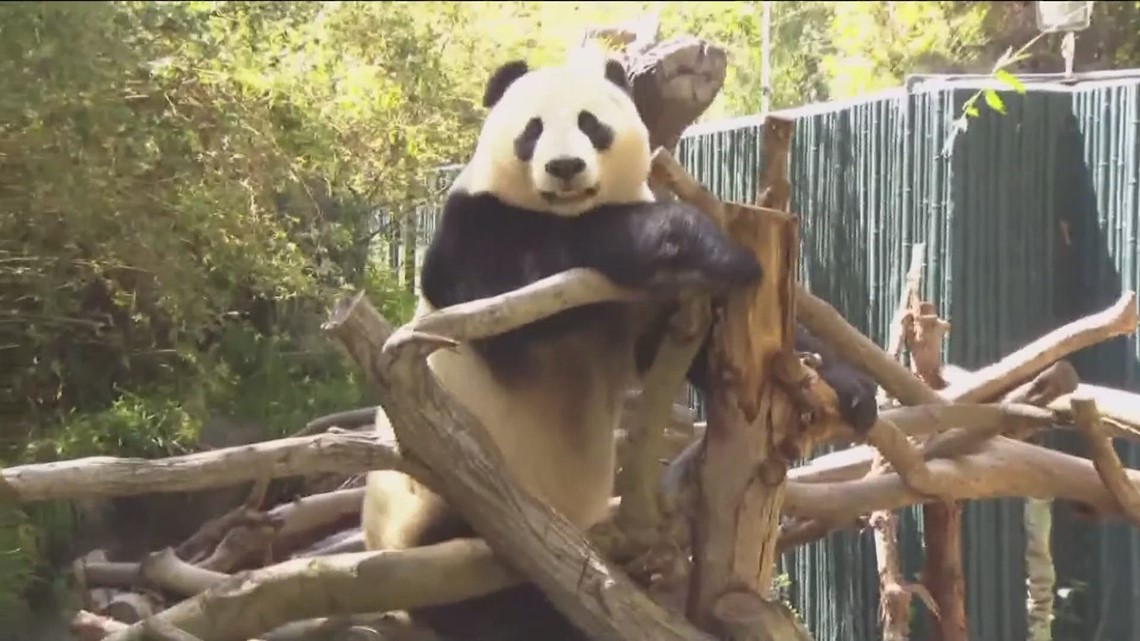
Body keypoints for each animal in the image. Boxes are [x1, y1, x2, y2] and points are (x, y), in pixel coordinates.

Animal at [362, 48, 879, 641]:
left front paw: (845, 387)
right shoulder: (475, 229)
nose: (565, 167)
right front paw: (702, 240)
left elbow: (692, 347)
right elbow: (508, 283)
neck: (563, 209)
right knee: (499, 597)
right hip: (446, 516)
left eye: (591, 124)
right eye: (532, 131)